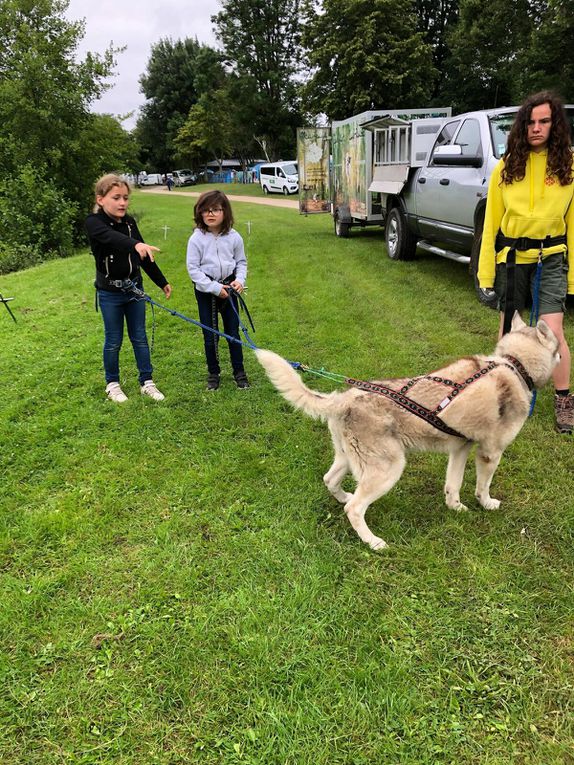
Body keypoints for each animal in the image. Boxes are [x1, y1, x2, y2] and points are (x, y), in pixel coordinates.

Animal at [258, 314, 564, 552]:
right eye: (558, 345)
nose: (563, 354)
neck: (513, 364)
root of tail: (343, 398)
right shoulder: (490, 452)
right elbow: (482, 487)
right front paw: (486, 504)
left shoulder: (460, 448)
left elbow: (453, 485)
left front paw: (455, 508)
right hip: (388, 469)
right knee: (354, 509)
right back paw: (373, 541)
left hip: (348, 458)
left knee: (330, 481)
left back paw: (344, 496)